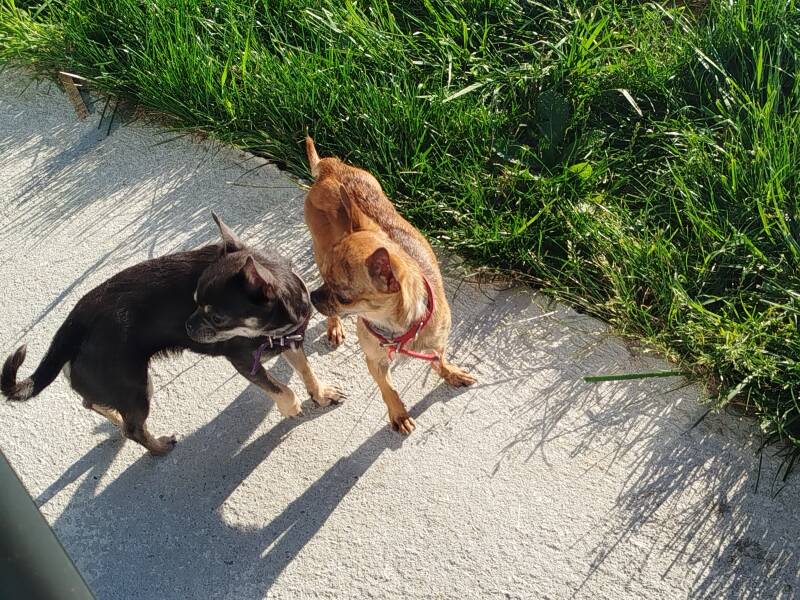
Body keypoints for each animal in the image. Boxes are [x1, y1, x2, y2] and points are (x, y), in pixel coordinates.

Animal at [2, 214, 342, 455]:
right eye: (193, 301)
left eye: (217, 317)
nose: (188, 327)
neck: (276, 327)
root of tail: (74, 323)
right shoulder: (245, 362)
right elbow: (281, 388)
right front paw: (292, 406)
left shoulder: (290, 341)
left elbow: (306, 370)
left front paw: (320, 393)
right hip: (137, 388)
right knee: (133, 428)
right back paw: (157, 446)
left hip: (115, 385)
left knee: (93, 403)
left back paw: (115, 420)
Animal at [303, 137, 475, 434]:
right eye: (326, 283)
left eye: (344, 297)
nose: (313, 296)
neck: (398, 328)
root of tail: (330, 167)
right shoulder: (375, 361)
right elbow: (388, 389)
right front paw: (399, 414)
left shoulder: (438, 342)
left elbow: (439, 359)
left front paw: (449, 372)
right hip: (319, 250)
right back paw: (334, 326)